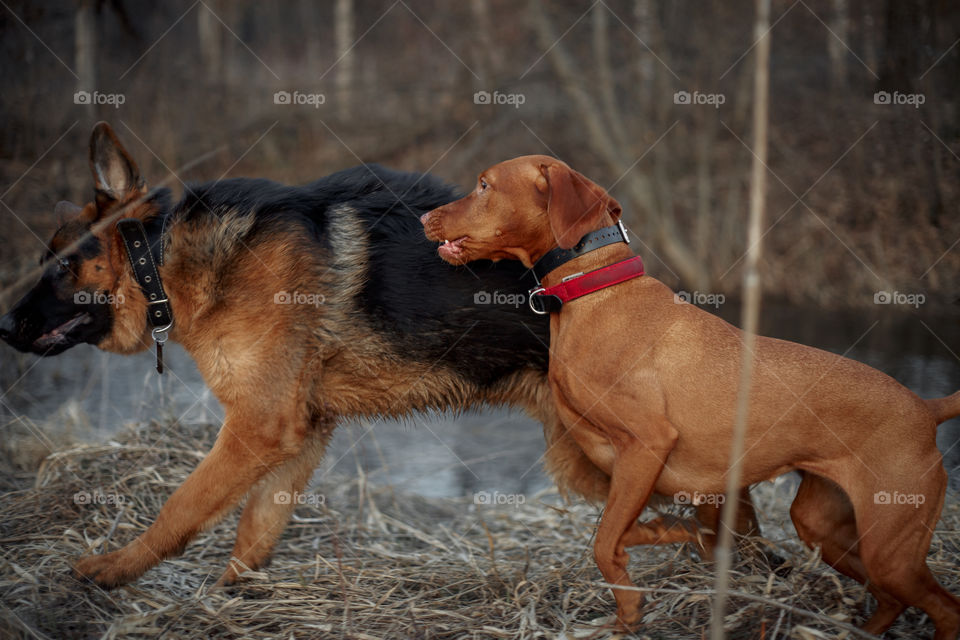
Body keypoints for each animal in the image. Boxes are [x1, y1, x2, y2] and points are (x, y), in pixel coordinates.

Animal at [0, 124, 752, 592]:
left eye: (61, 266)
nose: (3, 324)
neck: (162, 254)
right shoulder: (297, 434)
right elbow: (255, 530)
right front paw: (227, 597)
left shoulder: (254, 429)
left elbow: (180, 508)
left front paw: (113, 569)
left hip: (606, 455)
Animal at [424, 154, 960, 636]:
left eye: (484, 185)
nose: (424, 218)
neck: (595, 295)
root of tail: (924, 408)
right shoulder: (650, 479)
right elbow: (632, 530)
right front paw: (664, 540)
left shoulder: (646, 445)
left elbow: (603, 542)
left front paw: (630, 609)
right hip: (824, 527)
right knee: (889, 598)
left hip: (890, 542)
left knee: (942, 606)